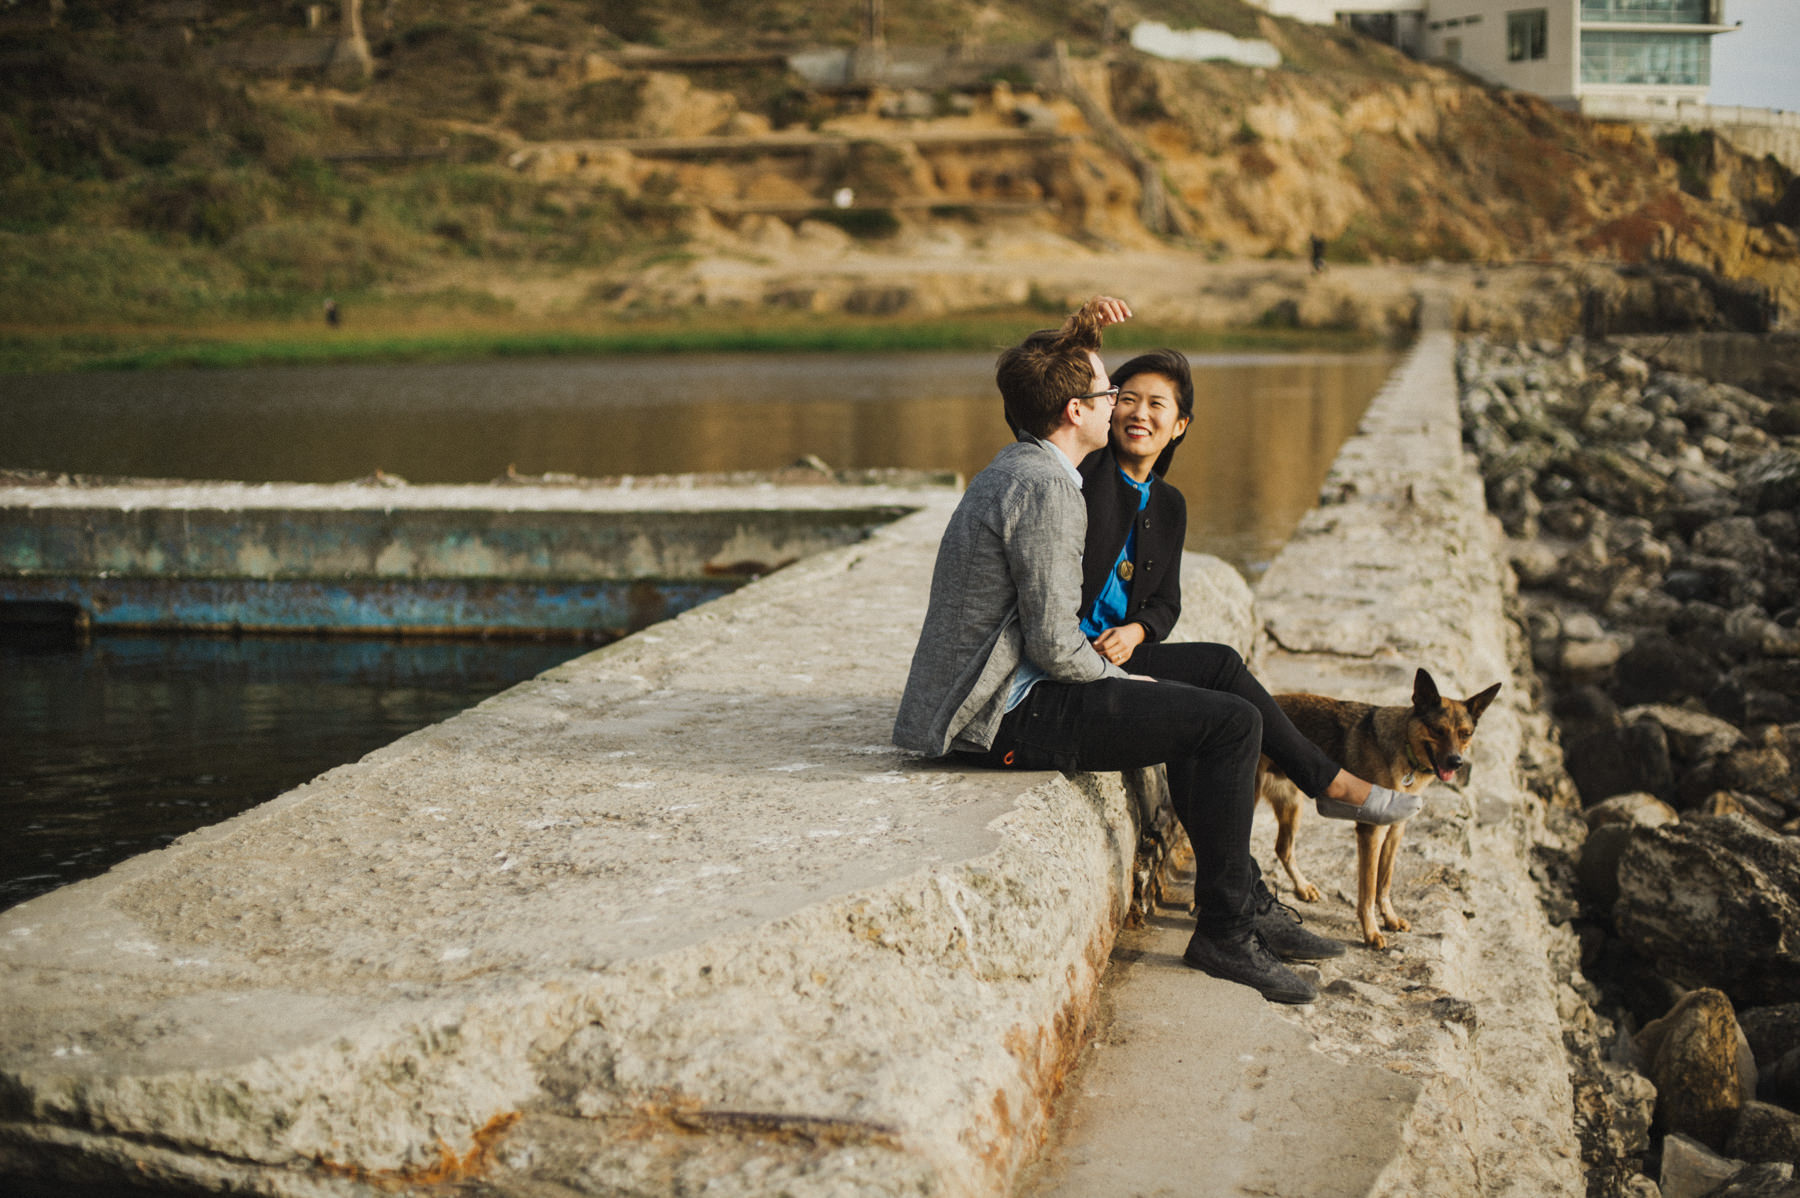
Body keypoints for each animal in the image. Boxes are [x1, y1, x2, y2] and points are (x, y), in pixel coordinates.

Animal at [1252, 665, 1504, 949]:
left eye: (1465, 734)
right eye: (1437, 730)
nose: (1456, 762)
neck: (1406, 747)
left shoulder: (1395, 830)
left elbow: (1385, 881)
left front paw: (1390, 918)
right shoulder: (1371, 833)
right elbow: (1369, 888)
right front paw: (1371, 931)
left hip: (1292, 805)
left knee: (1283, 848)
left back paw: (1303, 886)